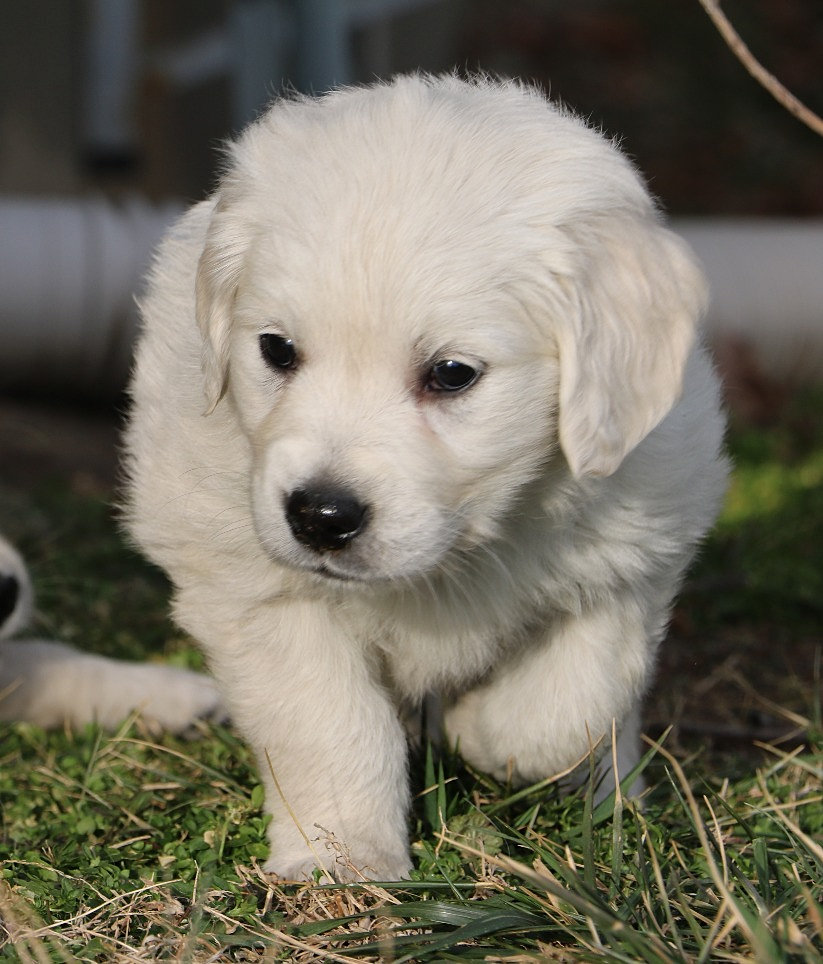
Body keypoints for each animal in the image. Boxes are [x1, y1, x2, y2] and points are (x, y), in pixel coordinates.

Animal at [122, 73, 728, 880]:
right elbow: (330, 723)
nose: (320, 516)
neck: (461, 550)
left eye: (451, 374)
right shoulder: (255, 591)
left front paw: (481, 730)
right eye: (276, 350)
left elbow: (567, 702)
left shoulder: (636, 548)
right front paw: (343, 858)